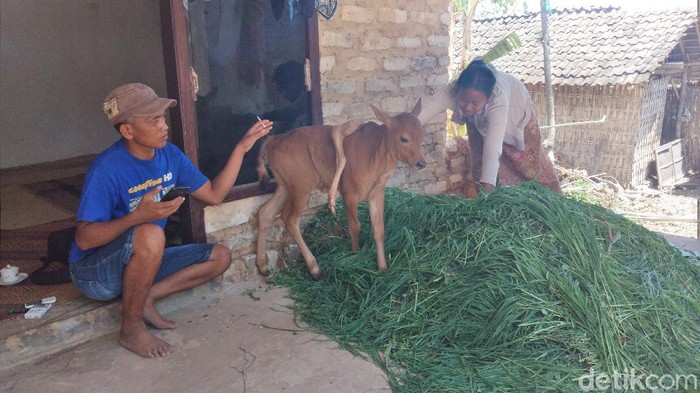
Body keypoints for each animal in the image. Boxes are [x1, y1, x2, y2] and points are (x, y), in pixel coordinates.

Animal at [254, 101, 424, 278]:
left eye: (423, 135)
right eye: (403, 138)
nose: (421, 163)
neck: (374, 155)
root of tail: (274, 139)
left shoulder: (376, 194)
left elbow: (379, 229)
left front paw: (382, 268)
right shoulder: (349, 193)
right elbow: (355, 226)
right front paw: (356, 255)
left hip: (284, 186)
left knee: (265, 212)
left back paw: (263, 265)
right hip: (301, 187)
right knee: (289, 218)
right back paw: (314, 268)